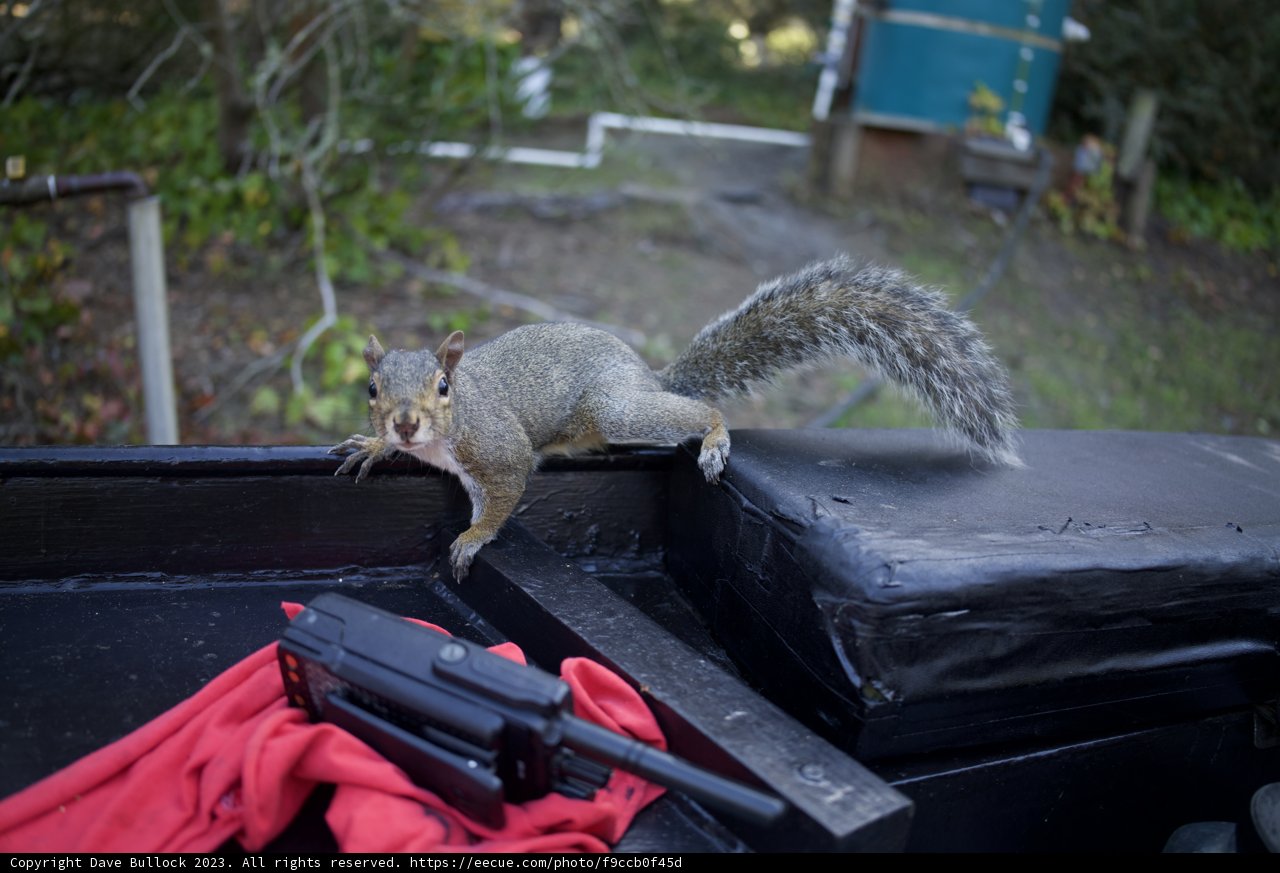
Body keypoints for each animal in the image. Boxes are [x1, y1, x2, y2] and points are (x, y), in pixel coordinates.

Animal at [331, 256, 1021, 580]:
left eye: (444, 387)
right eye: (371, 388)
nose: (405, 425)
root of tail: (645, 374)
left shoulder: (497, 452)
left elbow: (502, 497)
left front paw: (472, 538)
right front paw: (373, 446)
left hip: (616, 408)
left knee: (698, 411)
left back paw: (713, 438)